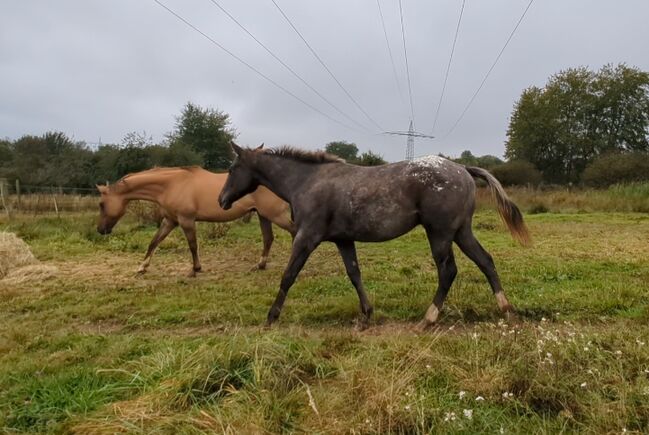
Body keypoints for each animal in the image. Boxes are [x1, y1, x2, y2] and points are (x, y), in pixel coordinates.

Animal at [95, 165, 292, 278]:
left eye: (101, 204)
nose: (100, 230)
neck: (171, 184)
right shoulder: (170, 221)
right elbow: (154, 242)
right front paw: (142, 267)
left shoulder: (186, 220)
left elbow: (192, 245)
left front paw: (195, 269)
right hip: (263, 215)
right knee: (268, 238)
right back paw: (260, 265)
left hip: (275, 215)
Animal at [220, 144, 528, 330]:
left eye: (233, 169)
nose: (221, 200)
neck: (307, 182)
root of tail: (463, 169)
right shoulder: (343, 240)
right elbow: (354, 274)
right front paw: (367, 314)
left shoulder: (307, 237)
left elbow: (288, 275)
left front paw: (271, 316)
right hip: (461, 232)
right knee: (486, 261)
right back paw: (507, 310)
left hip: (439, 233)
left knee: (448, 271)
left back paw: (428, 319)